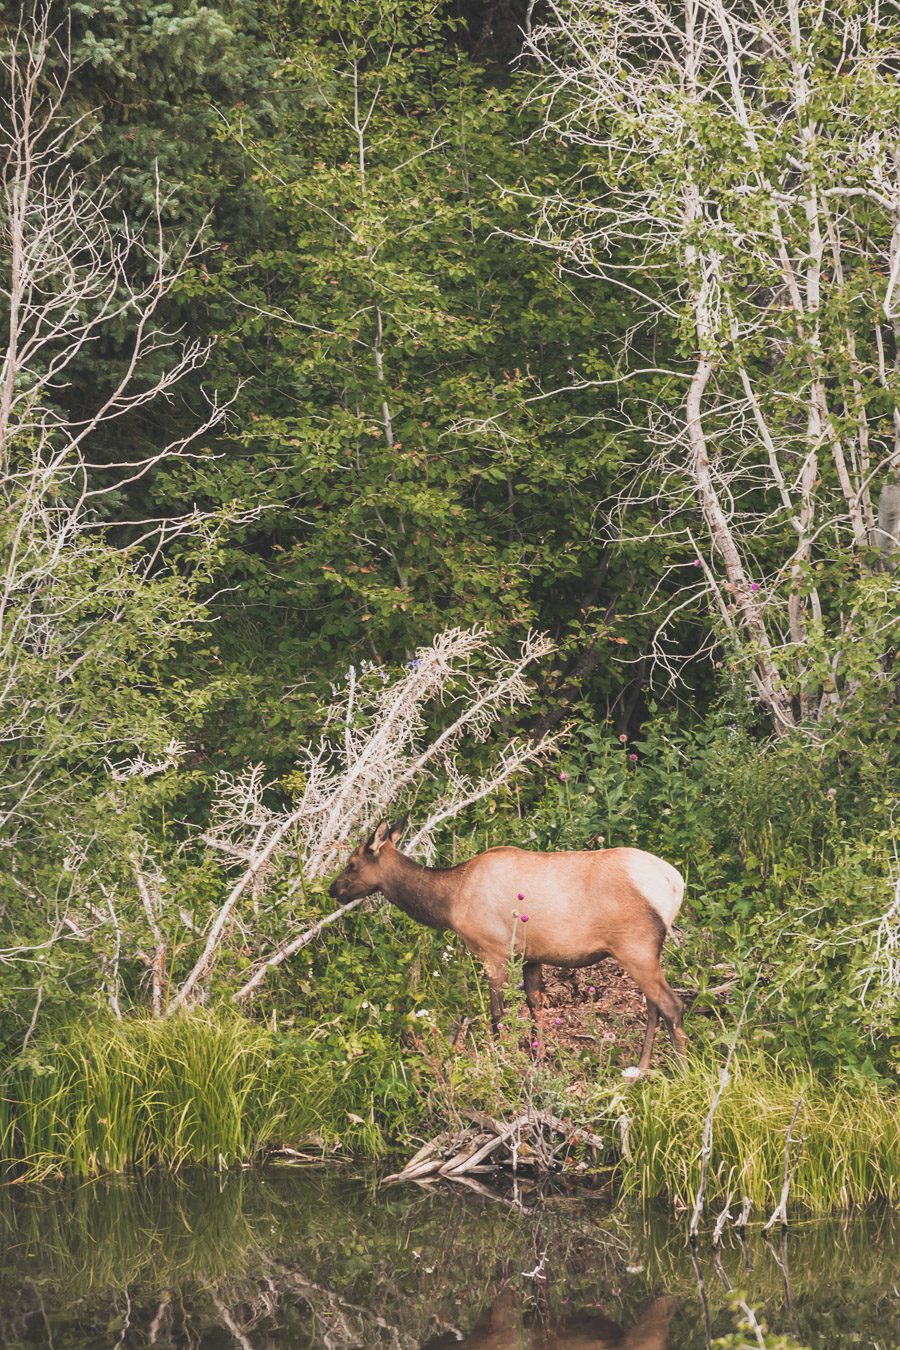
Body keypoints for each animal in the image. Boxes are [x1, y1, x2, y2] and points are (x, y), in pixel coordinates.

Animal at [327, 815, 685, 1069]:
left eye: (351, 863)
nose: (333, 889)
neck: (450, 902)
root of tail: (675, 883)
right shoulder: (532, 955)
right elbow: (535, 1005)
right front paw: (538, 1057)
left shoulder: (493, 951)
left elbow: (497, 1012)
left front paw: (500, 1058)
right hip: (647, 951)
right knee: (654, 1006)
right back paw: (642, 1065)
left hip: (635, 946)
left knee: (672, 1005)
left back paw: (679, 1069)